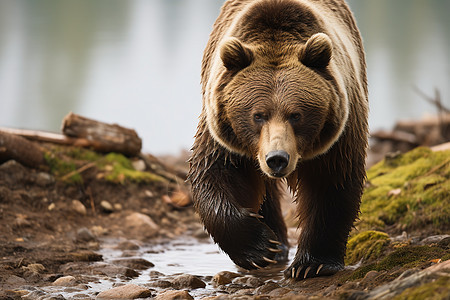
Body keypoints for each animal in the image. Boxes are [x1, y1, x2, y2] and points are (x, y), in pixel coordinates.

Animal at [188, 0, 368, 282]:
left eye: (296, 115)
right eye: (258, 115)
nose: (277, 159)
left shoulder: (339, 133)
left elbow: (332, 184)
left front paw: (312, 264)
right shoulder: (224, 135)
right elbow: (214, 175)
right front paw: (260, 247)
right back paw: (277, 245)